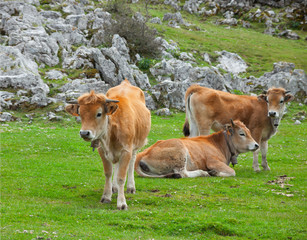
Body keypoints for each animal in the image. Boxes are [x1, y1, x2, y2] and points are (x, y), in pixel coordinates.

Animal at [66, 79, 152, 209]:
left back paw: (130, 187)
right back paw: (114, 188)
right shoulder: (102, 150)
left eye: (99, 113)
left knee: (132, 163)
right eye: (80, 113)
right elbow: (108, 173)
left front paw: (122, 203)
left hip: (136, 145)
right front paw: (106, 196)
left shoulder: (126, 151)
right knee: (116, 165)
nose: (84, 133)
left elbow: (121, 177)